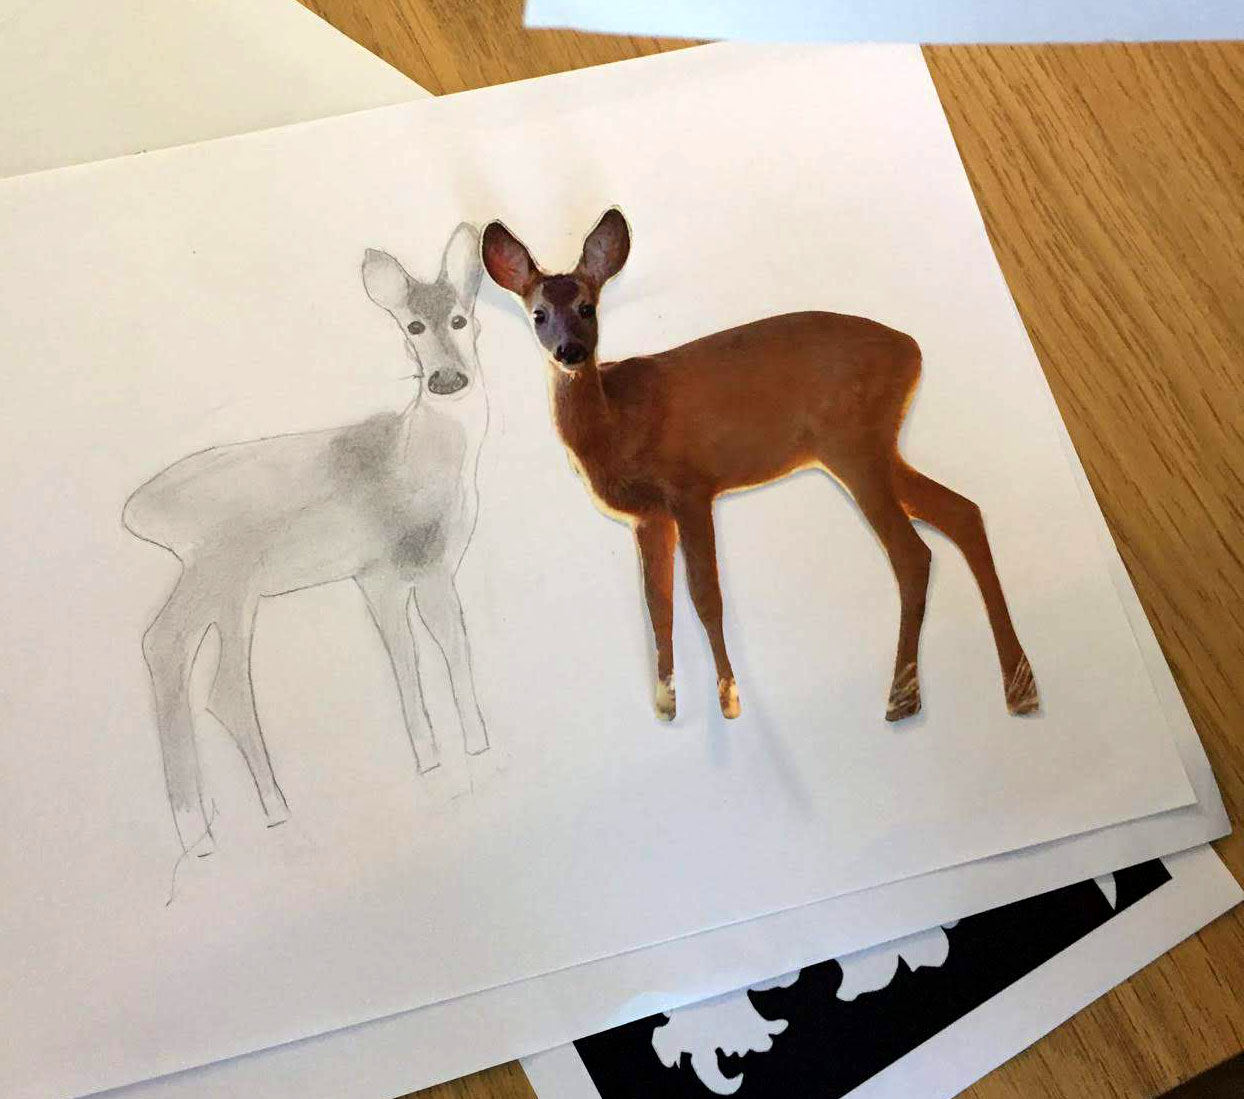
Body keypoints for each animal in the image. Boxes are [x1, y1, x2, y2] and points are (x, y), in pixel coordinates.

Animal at [123, 223, 490, 858]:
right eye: (412, 326)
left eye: (460, 318)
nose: (447, 380)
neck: (422, 463)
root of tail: (139, 509)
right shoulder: (423, 562)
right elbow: (451, 647)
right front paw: (475, 747)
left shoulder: (378, 574)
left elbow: (407, 658)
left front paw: (430, 759)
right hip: (232, 572)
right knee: (222, 684)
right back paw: (272, 811)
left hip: (208, 576)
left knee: (164, 645)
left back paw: (199, 832)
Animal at [482, 209, 1039, 726]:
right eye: (538, 314)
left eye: (587, 307)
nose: (570, 351)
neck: (616, 424)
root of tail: (913, 351)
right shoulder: (648, 516)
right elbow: (657, 604)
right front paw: (667, 704)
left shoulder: (689, 486)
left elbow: (704, 595)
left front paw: (729, 699)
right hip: (873, 448)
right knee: (962, 511)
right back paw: (1019, 689)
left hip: (853, 443)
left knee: (913, 552)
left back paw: (902, 698)